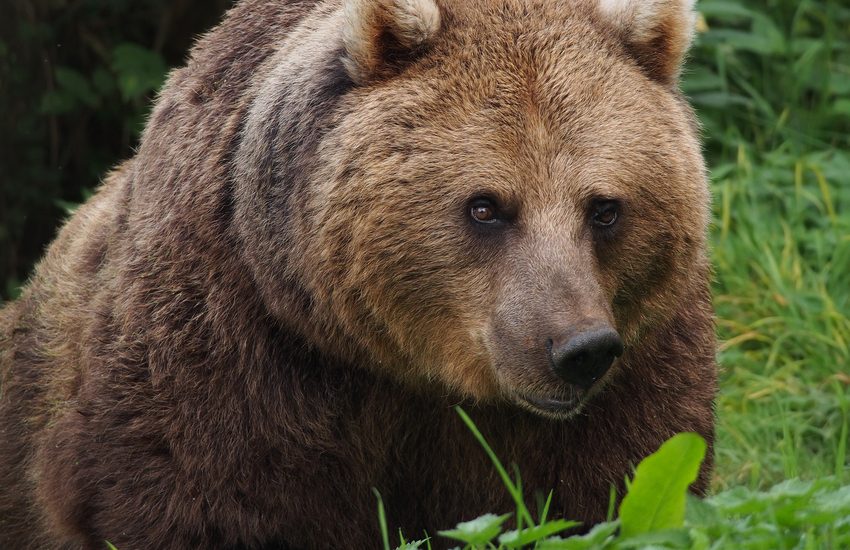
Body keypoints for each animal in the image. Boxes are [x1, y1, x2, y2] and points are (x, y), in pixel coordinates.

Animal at [0, 0, 716, 548]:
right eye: (485, 205)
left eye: (604, 207)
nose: (577, 349)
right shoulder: (230, 347)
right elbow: (197, 499)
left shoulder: (640, 359)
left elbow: (608, 490)